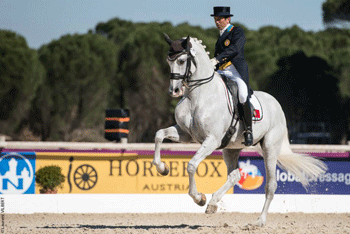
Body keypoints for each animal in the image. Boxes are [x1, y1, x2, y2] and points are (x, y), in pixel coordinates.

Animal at [152, 35, 326, 227]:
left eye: (182, 61)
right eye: (169, 61)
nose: (174, 91)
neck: (197, 96)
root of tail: (277, 104)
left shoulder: (211, 140)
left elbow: (191, 165)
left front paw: (199, 198)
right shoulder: (186, 134)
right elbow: (159, 135)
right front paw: (162, 168)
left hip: (270, 147)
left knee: (271, 185)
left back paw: (259, 221)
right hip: (231, 149)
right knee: (234, 176)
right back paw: (213, 204)